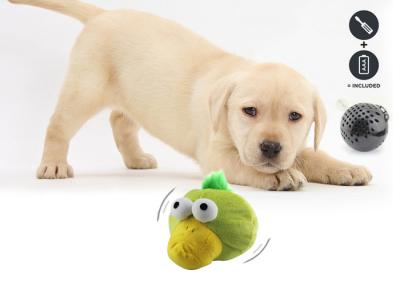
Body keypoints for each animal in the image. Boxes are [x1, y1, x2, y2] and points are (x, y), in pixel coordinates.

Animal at [9, 1, 372, 192]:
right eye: (249, 111)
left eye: (295, 117)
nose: (270, 147)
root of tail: (103, 14)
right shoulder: (216, 157)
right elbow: (246, 165)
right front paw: (279, 175)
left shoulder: (292, 144)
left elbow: (311, 155)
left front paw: (345, 168)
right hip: (85, 89)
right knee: (59, 124)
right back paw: (54, 164)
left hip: (132, 94)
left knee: (120, 121)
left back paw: (136, 159)